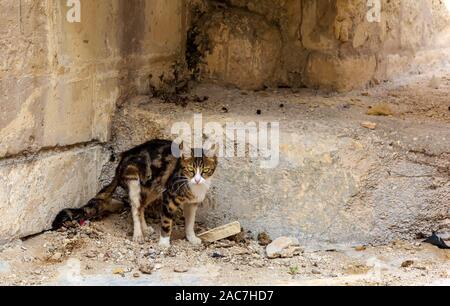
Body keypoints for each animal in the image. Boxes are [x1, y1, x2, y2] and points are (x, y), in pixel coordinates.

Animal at [52, 140, 218, 247]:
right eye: (190, 170)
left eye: (205, 171)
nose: (197, 180)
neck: (193, 186)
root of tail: (121, 162)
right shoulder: (169, 198)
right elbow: (166, 223)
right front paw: (164, 243)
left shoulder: (192, 203)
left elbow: (190, 223)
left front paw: (192, 238)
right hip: (134, 181)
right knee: (135, 208)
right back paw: (138, 235)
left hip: (153, 186)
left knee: (141, 207)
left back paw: (145, 229)